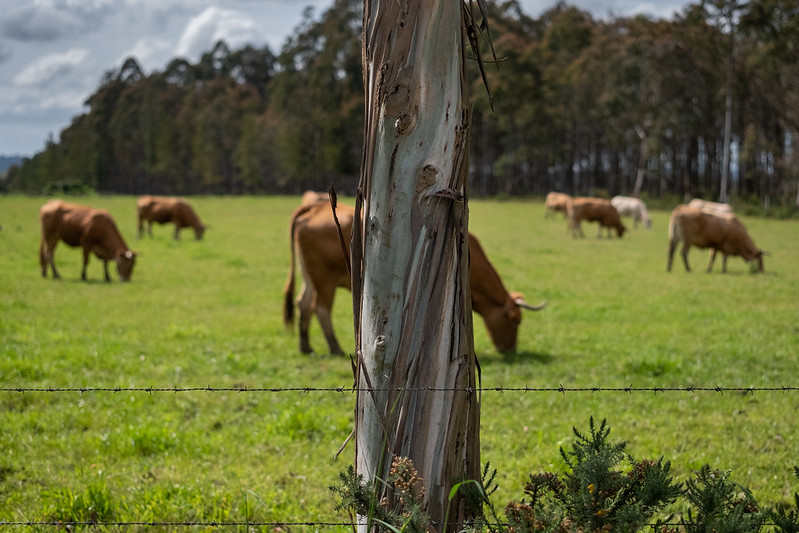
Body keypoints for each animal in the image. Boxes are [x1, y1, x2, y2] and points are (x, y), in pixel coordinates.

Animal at [282, 192, 544, 354]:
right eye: (515, 320)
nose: (510, 350)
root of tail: (315, 207)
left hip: (310, 276)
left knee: (303, 303)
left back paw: (305, 346)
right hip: (324, 279)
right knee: (320, 309)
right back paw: (334, 347)